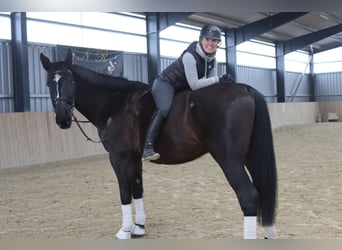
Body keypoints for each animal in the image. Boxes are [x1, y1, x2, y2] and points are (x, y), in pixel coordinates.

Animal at [40, 48, 276, 238]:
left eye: (71, 82)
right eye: (50, 83)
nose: (62, 119)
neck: (116, 104)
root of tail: (245, 89)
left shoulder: (119, 157)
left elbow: (124, 191)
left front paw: (125, 230)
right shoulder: (135, 159)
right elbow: (137, 189)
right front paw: (138, 227)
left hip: (229, 160)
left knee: (249, 197)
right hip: (250, 156)